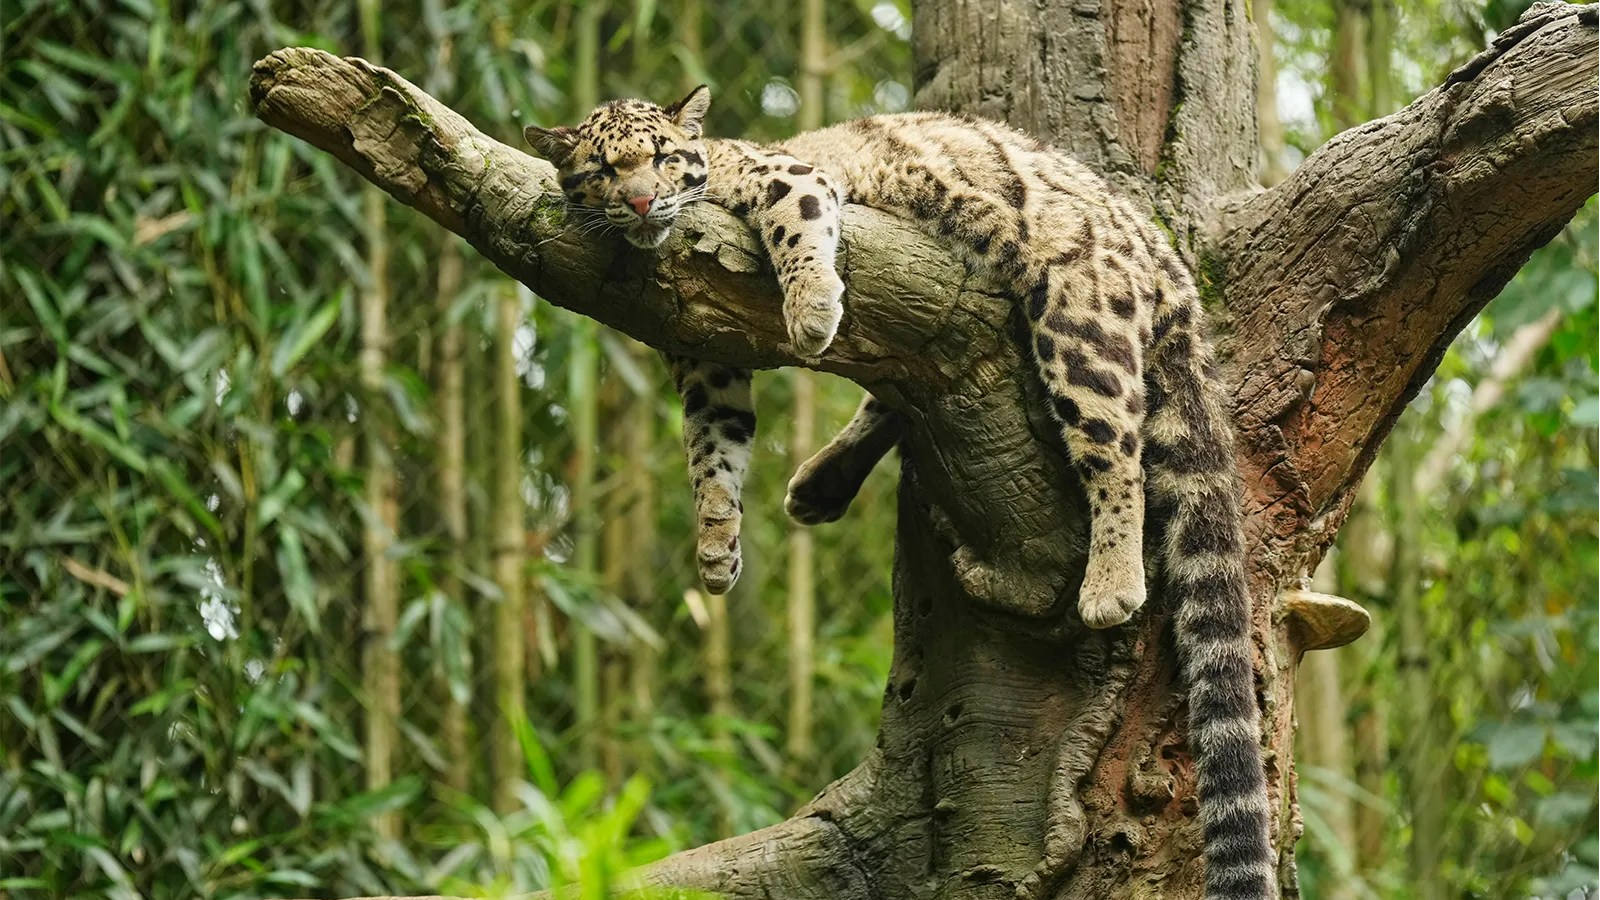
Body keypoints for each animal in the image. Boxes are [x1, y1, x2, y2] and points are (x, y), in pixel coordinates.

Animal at [525, 85, 1275, 900]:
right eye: (603, 169)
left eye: (664, 157)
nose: (640, 201)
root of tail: (1168, 256)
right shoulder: (705, 359)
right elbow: (711, 452)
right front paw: (717, 543)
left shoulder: (789, 178)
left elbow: (797, 226)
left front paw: (811, 309)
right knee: (899, 395)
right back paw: (821, 482)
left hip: (1080, 320)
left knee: (1118, 449)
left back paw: (1111, 581)